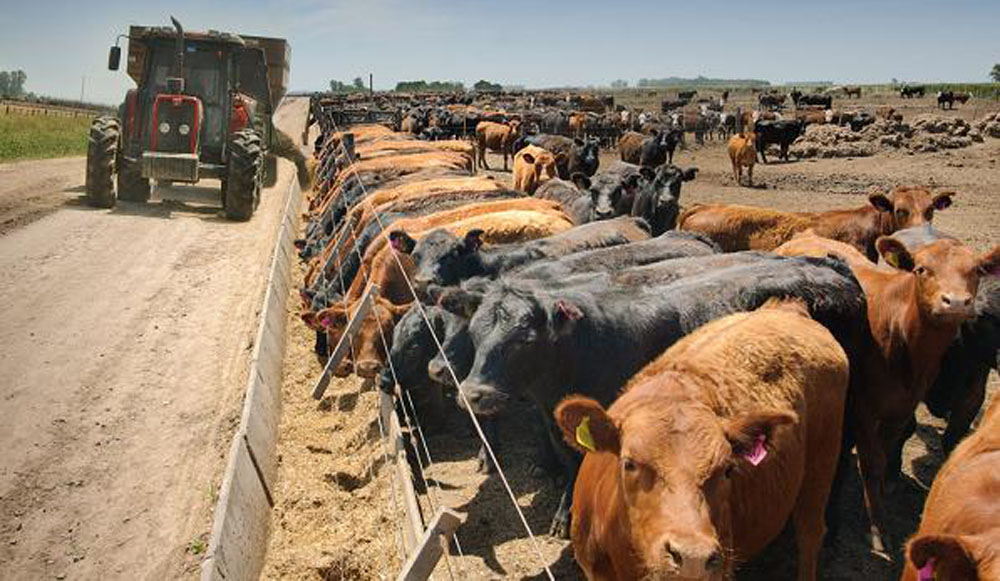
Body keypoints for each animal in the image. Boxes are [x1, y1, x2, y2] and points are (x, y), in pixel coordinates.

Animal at [560, 300, 848, 580]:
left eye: (728, 470)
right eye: (629, 463)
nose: (692, 558)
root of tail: (787, 308)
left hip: (822, 463)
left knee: (810, 532)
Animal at [776, 230, 1000, 552]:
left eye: (976, 271)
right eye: (922, 269)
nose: (955, 302)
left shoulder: (902, 408)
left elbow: (885, 454)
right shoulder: (863, 408)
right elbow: (872, 463)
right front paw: (877, 527)